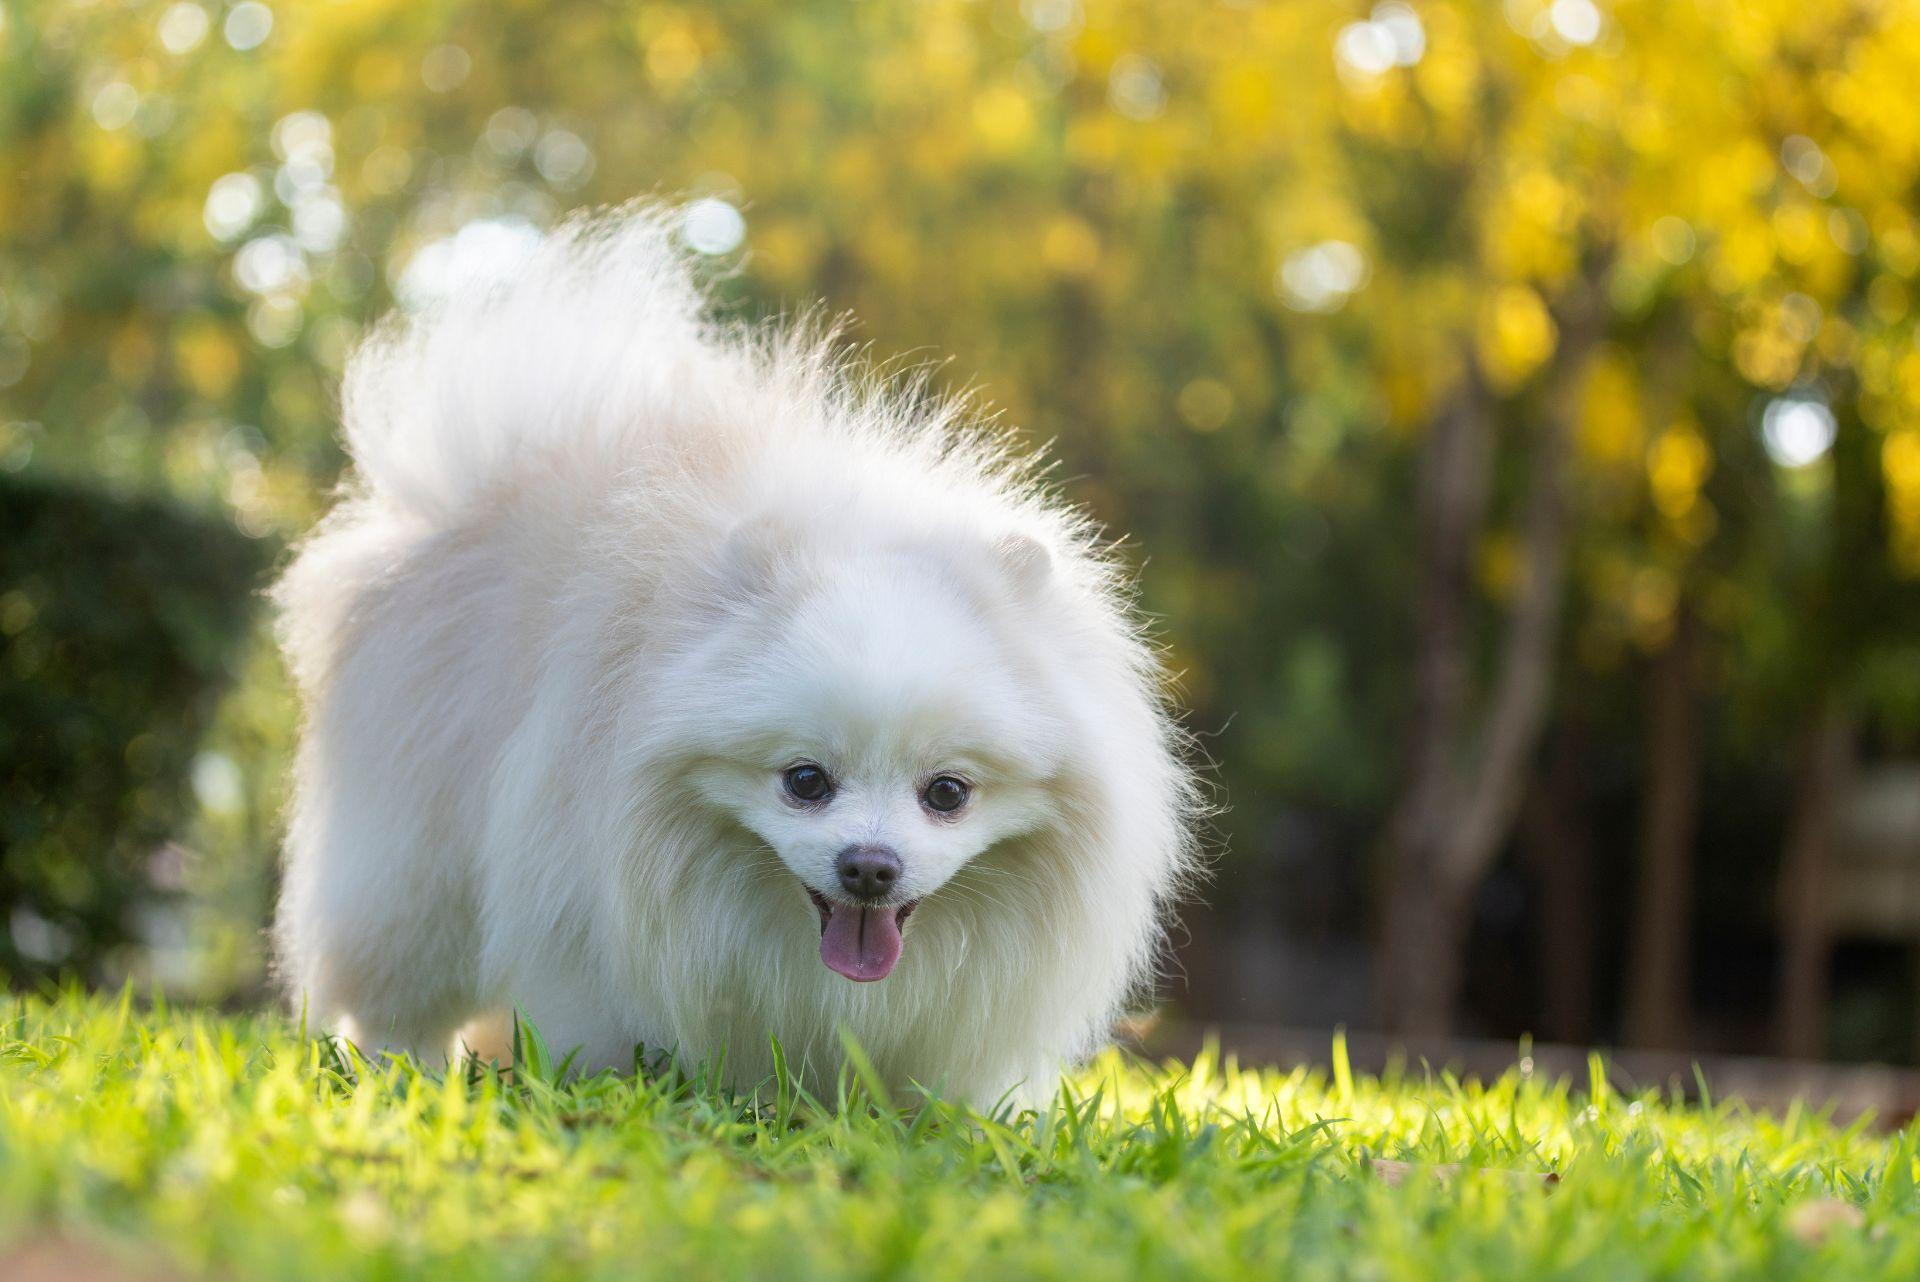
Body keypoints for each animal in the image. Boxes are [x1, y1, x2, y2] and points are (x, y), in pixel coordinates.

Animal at [274, 205, 1198, 1105]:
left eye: (947, 793)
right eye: (805, 781)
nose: (870, 866)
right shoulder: (575, 905)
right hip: (416, 861)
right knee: (398, 988)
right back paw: (405, 1073)